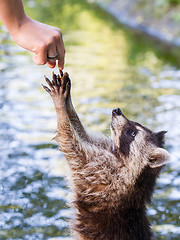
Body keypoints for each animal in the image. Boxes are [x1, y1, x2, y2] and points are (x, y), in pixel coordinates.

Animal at [42, 71, 170, 240]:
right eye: (135, 125)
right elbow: (84, 136)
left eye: (132, 133)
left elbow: (71, 144)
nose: (116, 110)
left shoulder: (103, 173)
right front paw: (68, 104)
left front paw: (60, 106)